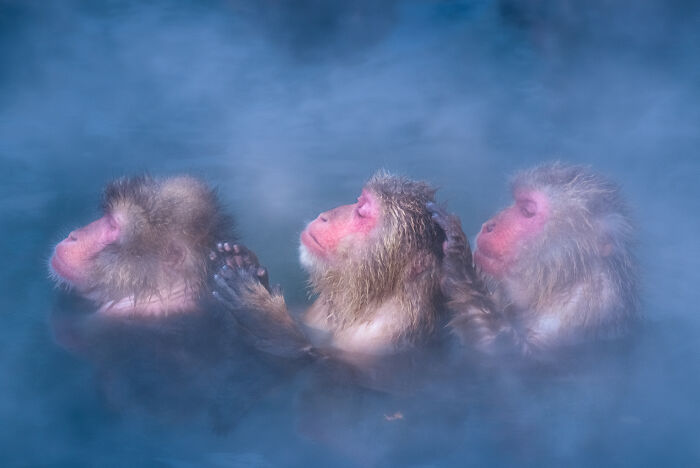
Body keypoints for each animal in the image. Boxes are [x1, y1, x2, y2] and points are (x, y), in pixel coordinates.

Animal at [428, 162, 640, 358]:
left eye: (527, 211)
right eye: (516, 202)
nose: (489, 226)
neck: (561, 282)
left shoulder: (582, 310)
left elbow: (509, 351)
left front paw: (458, 256)